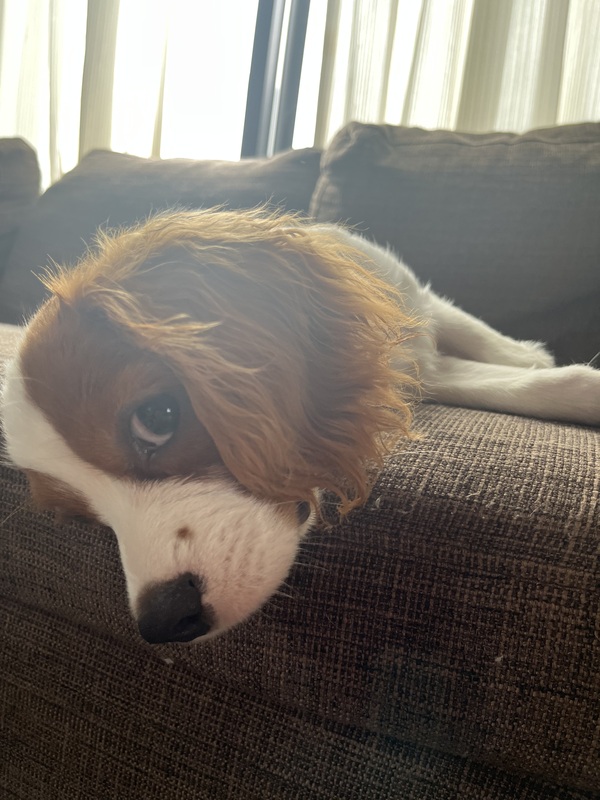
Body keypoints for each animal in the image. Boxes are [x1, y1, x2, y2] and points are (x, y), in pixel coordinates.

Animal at [2, 209, 599, 644]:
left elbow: (479, 337)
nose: (162, 623)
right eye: (81, 518)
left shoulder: (409, 306)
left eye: (157, 418)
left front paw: (530, 354)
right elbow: (506, 383)